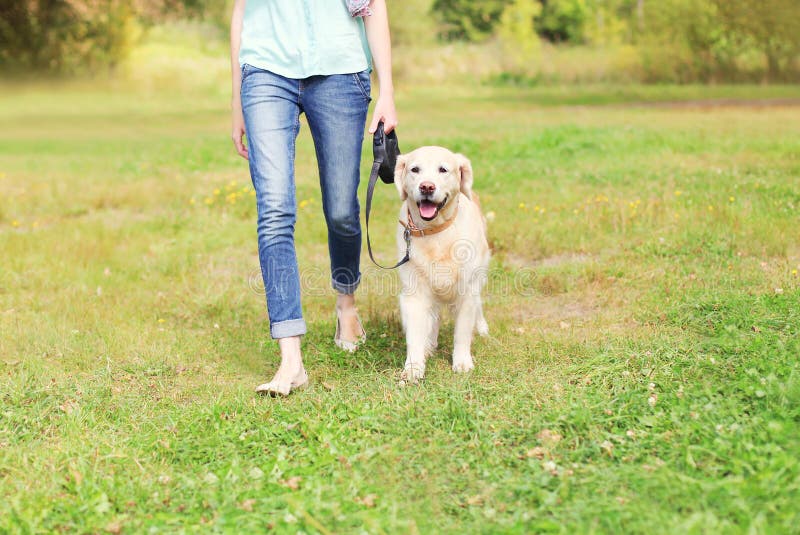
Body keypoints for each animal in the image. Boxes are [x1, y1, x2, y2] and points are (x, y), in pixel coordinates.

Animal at [392, 146, 488, 382]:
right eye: (415, 169)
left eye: (443, 170)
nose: (426, 186)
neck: (436, 232)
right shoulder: (414, 292)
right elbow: (415, 335)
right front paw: (414, 368)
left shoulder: (466, 291)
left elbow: (462, 332)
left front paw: (462, 362)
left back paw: (482, 327)